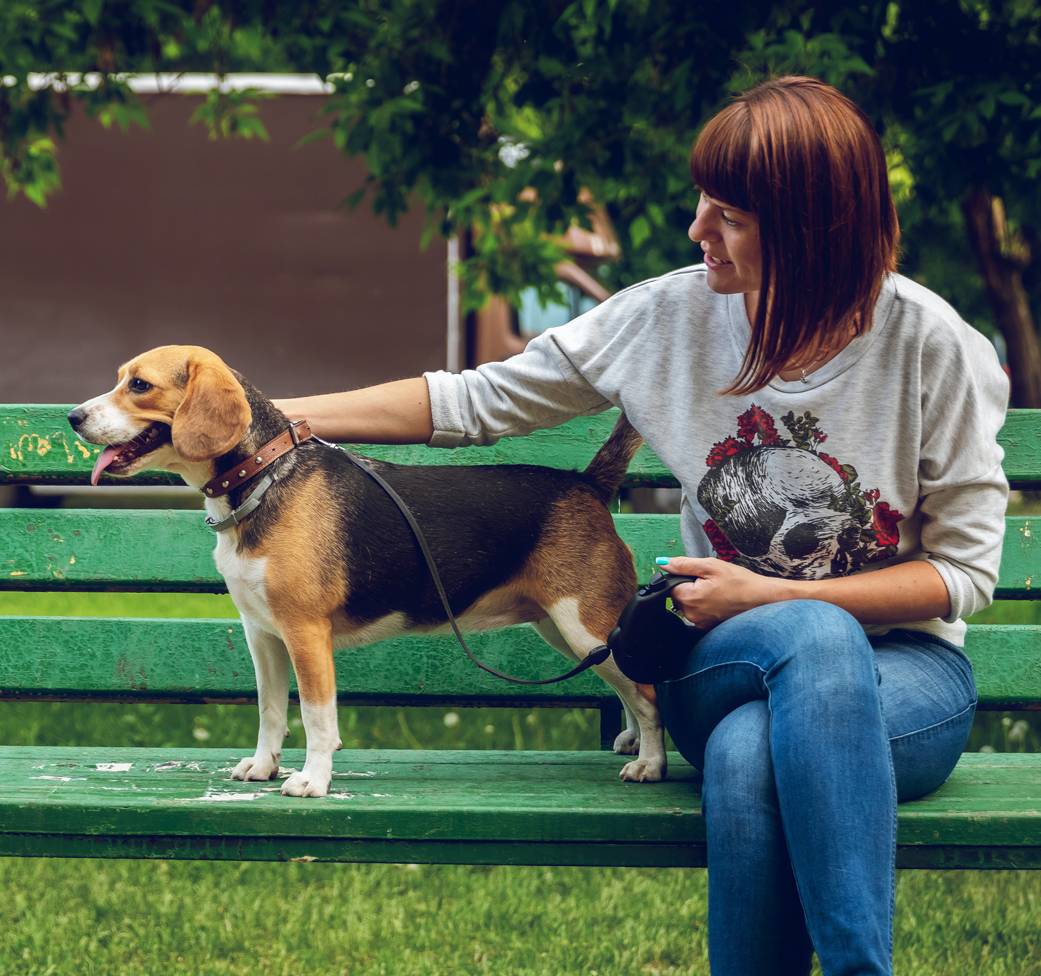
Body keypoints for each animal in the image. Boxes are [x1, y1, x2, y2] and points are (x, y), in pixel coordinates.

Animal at [71, 345, 666, 794]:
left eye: (140, 385)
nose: (73, 417)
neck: (261, 476)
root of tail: (586, 483)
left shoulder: (305, 634)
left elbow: (316, 717)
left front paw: (312, 781)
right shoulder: (262, 634)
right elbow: (270, 711)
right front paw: (262, 767)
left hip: (582, 624)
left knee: (647, 692)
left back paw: (650, 762)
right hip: (567, 630)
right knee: (629, 688)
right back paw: (634, 741)